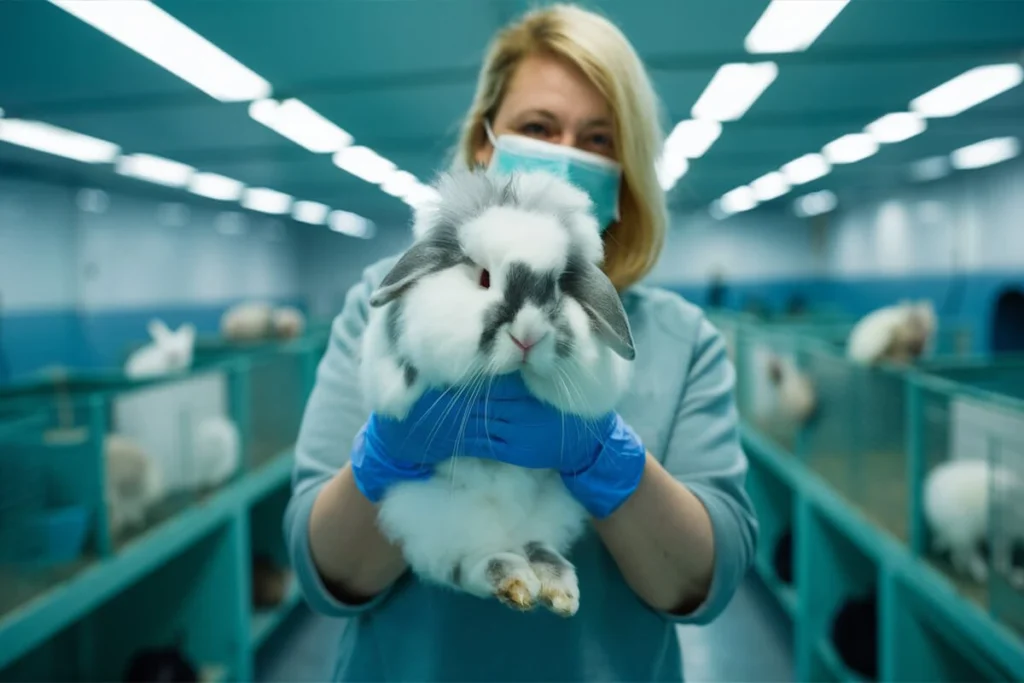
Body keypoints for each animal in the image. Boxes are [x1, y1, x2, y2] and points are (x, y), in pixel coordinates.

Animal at [360, 167, 630, 618]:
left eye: (557, 287)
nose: (529, 336)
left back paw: (556, 588)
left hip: (548, 508)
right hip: (438, 517)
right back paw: (514, 581)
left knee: (536, 545)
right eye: (485, 277)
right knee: (470, 564)